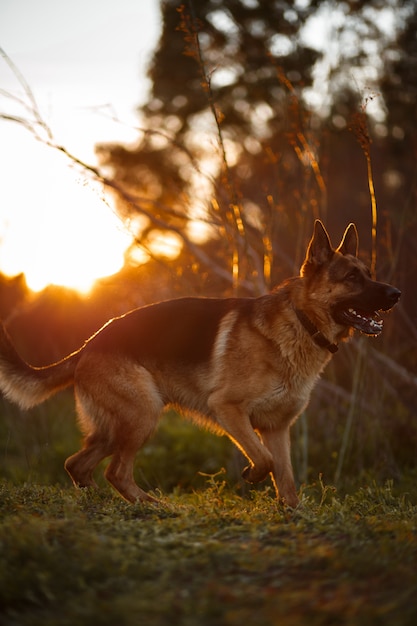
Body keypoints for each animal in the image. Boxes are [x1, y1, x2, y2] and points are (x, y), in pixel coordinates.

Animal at [0, 222, 398, 504]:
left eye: (369, 273)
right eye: (352, 278)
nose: (396, 293)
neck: (301, 322)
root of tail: (88, 344)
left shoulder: (277, 429)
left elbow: (287, 483)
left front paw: (294, 519)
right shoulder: (229, 410)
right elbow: (265, 461)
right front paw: (251, 475)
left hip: (117, 426)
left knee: (77, 465)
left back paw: (105, 503)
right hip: (142, 415)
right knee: (116, 472)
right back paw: (153, 508)